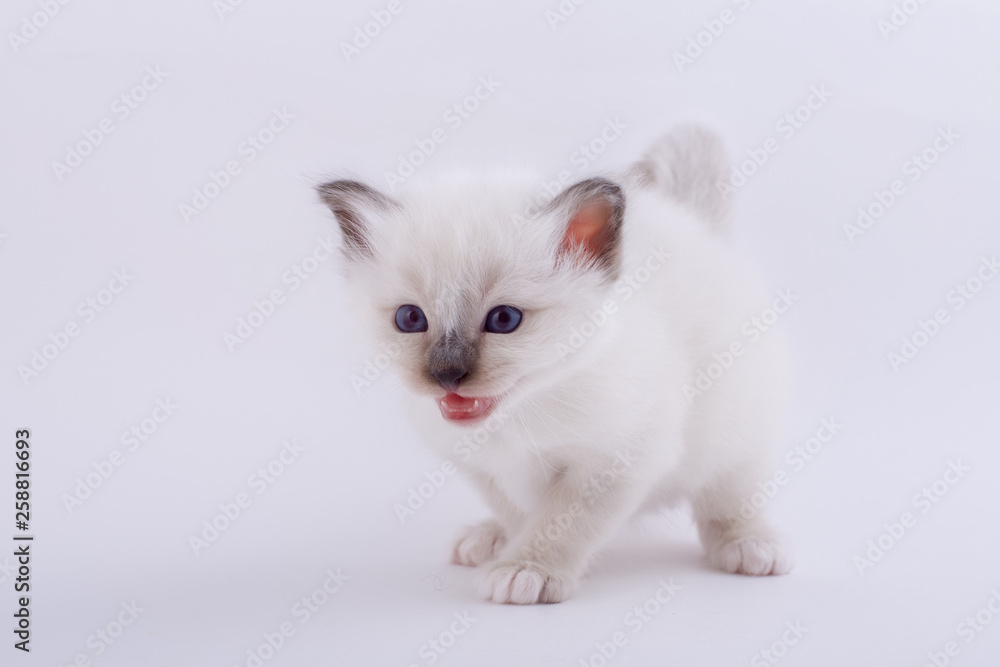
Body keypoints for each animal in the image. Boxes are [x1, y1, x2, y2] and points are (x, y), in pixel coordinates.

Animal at [316, 125, 792, 604]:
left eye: (504, 320)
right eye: (410, 319)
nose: (447, 376)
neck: (518, 416)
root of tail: (697, 223)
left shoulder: (618, 462)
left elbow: (560, 522)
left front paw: (527, 570)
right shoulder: (480, 467)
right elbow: (520, 514)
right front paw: (511, 549)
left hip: (734, 436)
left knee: (729, 498)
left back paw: (749, 546)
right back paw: (487, 537)